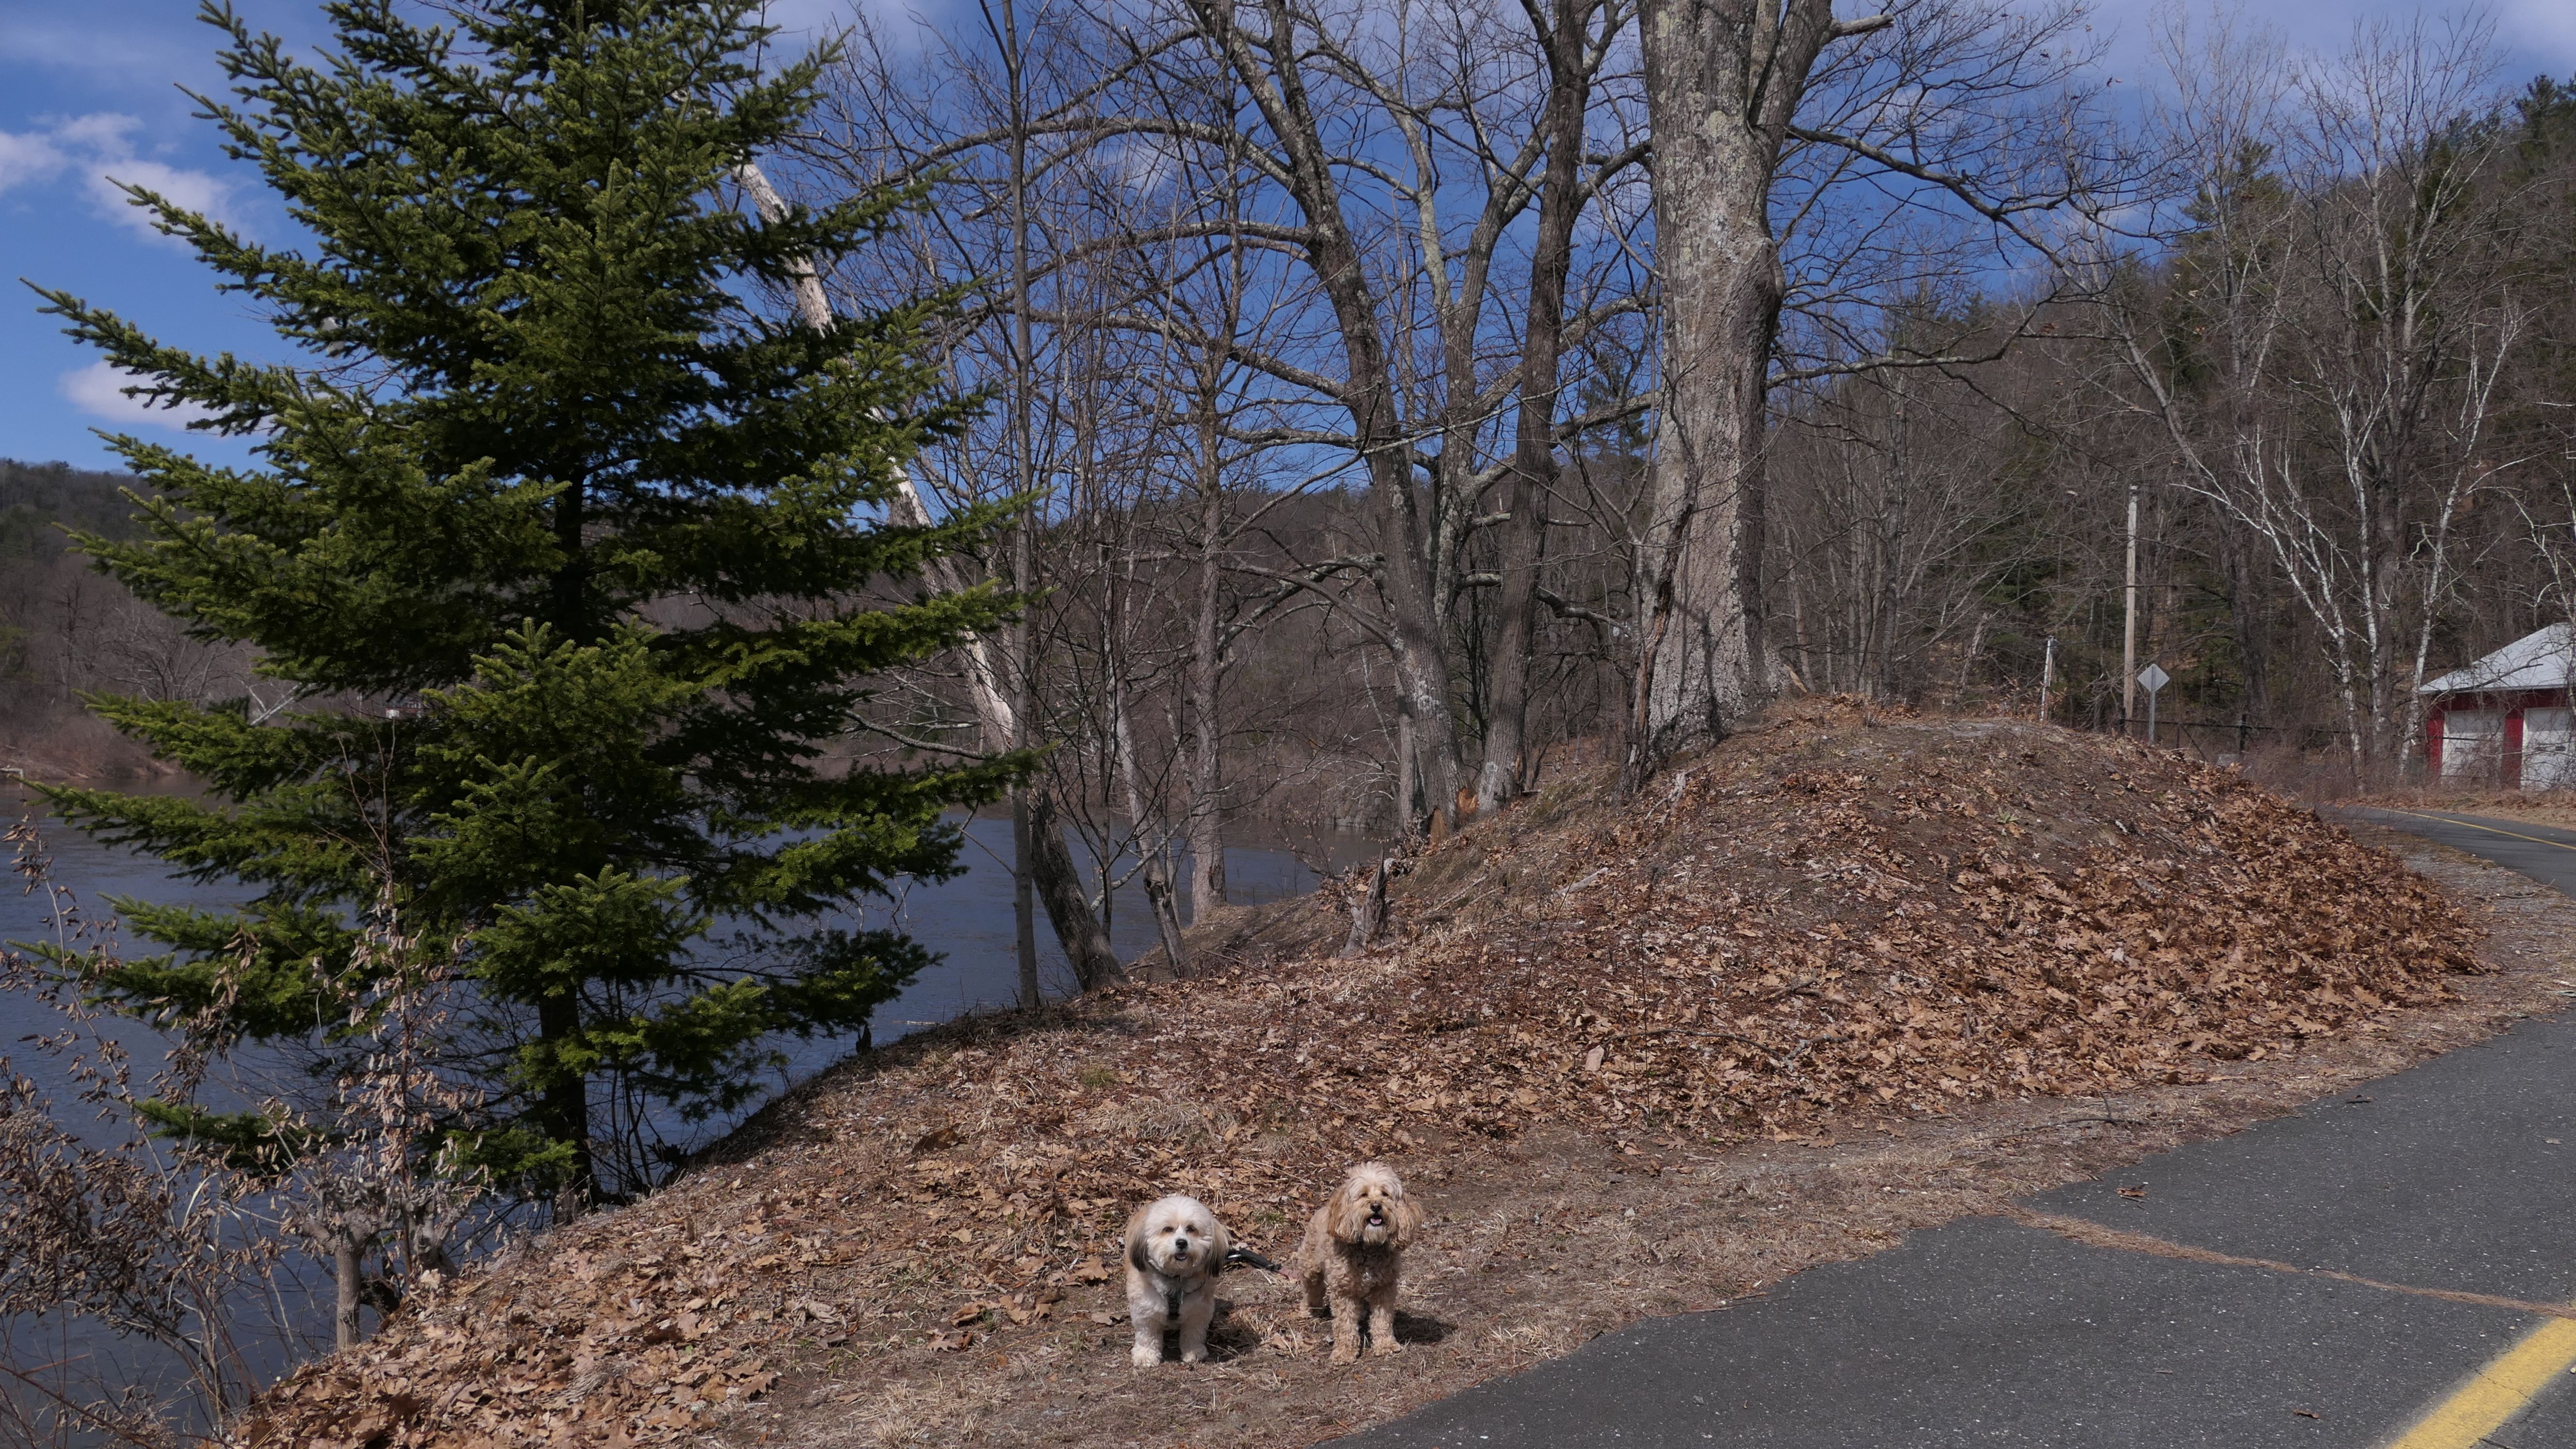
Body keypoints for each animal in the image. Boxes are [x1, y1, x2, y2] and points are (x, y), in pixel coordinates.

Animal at [1124, 1194, 1233, 1366]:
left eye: (1191, 1229)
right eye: (1168, 1229)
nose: (1182, 1242)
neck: (1176, 1280)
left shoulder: (1198, 1311)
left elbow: (1193, 1334)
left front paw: (1194, 1352)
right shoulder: (1145, 1311)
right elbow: (1147, 1336)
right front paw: (1146, 1356)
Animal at [1297, 1161, 1423, 1362]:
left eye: (1385, 1194)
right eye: (1364, 1194)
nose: (1376, 1206)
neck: (1368, 1246)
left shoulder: (1385, 1287)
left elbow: (1382, 1319)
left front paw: (1385, 1345)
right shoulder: (1344, 1292)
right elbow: (1345, 1325)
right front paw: (1344, 1352)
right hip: (1311, 1265)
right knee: (1312, 1289)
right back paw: (1308, 1309)